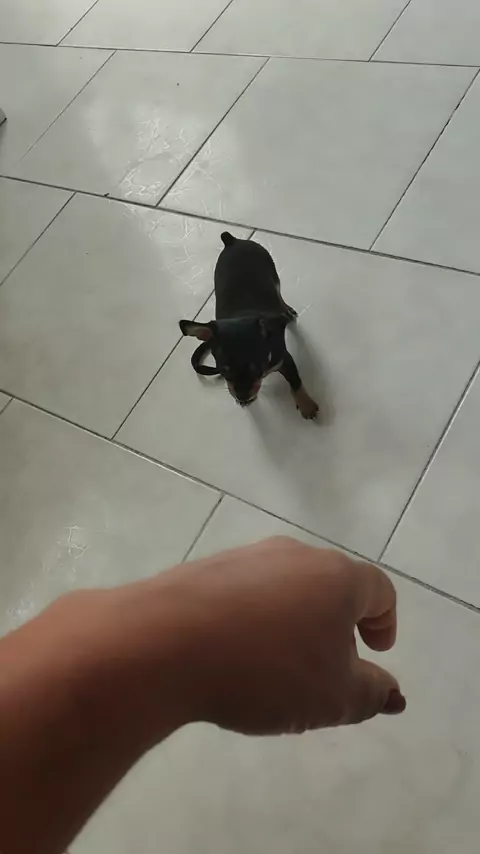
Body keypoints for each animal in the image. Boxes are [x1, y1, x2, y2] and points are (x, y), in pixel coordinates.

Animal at [179, 232, 318, 419]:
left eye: (256, 370)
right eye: (224, 371)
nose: (243, 397)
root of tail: (232, 241)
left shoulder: (284, 359)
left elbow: (295, 381)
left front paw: (306, 405)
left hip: (273, 275)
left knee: (279, 294)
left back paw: (287, 311)